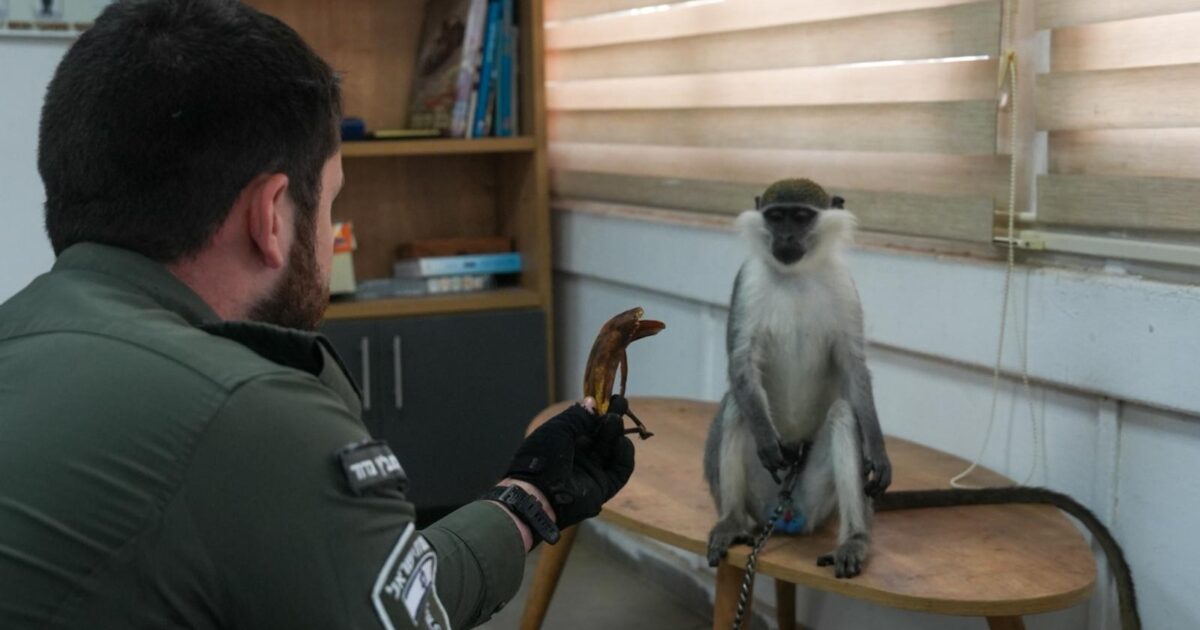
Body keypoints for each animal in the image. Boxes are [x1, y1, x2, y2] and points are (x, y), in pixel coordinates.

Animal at [704, 178, 891, 579]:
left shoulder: (844, 285)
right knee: (736, 404)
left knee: (842, 414)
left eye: (801, 217)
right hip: (759, 495)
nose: (786, 237)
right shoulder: (747, 280)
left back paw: (854, 540)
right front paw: (766, 440)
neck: (796, 275)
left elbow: (854, 368)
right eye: (776, 217)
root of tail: (787, 511)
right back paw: (731, 521)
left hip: (818, 500)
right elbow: (740, 362)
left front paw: (879, 452)